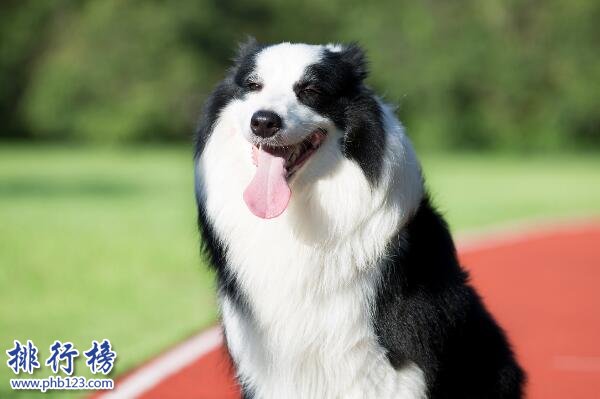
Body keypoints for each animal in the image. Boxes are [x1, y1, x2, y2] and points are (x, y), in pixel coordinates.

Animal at [195, 41, 524, 399]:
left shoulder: (393, 361)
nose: (264, 122)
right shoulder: (264, 362)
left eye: (310, 91)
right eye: (254, 86)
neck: (300, 208)